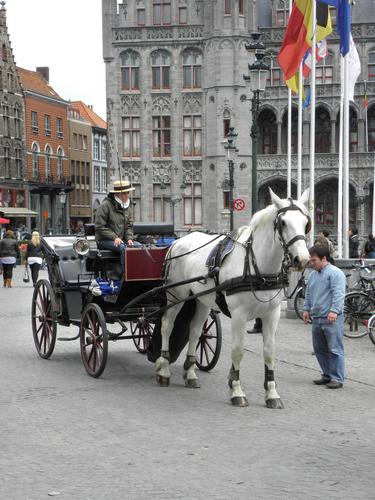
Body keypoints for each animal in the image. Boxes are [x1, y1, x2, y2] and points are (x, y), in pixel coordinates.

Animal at [156, 189, 312, 408]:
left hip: (202, 300)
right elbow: (238, 350)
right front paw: (236, 390)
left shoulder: (272, 314)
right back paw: (163, 369)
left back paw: (191, 373)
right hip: (175, 295)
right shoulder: (239, 315)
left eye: (306, 222)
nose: (303, 260)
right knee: (167, 326)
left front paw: (272, 393)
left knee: (195, 331)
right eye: (282, 222)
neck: (258, 266)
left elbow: (269, 352)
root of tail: (177, 241)